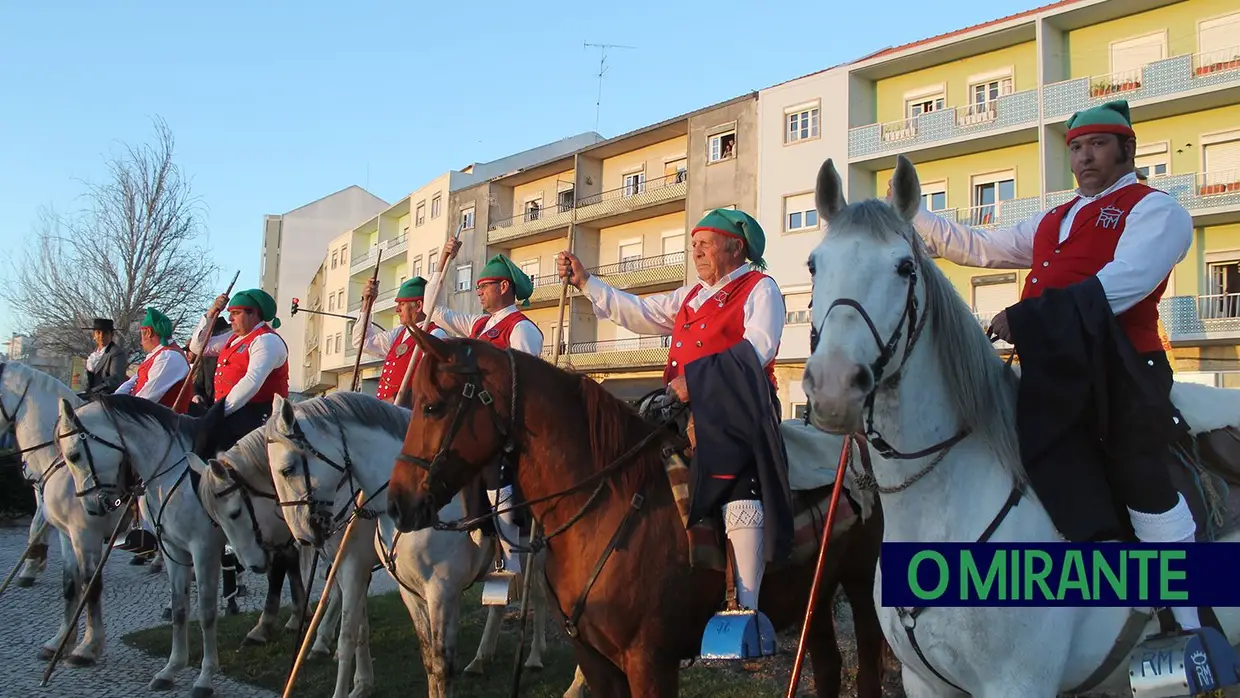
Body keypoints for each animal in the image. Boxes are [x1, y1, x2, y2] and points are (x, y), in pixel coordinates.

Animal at [0, 359, 128, 664]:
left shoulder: (86, 535)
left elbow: (91, 584)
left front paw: (89, 646)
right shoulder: (66, 533)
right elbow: (70, 583)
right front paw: (60, 641)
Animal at [55, 396, 228, 694]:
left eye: (74, 455)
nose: (91, 508)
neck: (174, 470)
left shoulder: (204, 549)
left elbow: (206, 612)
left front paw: (205, 677)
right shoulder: (173, 549)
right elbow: (180, 608)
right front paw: (171, 669)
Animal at [267, 394, 558, 698]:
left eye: (287, 470)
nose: (303, 535)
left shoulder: (439, 591)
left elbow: (441, 666)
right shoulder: (407, 590)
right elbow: (427, 659)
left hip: (538, 555)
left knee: (539, 596)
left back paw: (534, 657)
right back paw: (481, 660)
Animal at [384, 329, 882, 698]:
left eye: (432, 406)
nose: (397, 503)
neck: (605, 505)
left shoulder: (650, 662)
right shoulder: (596, 660)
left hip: (860, 584)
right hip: (816, 591)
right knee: (828, 665)